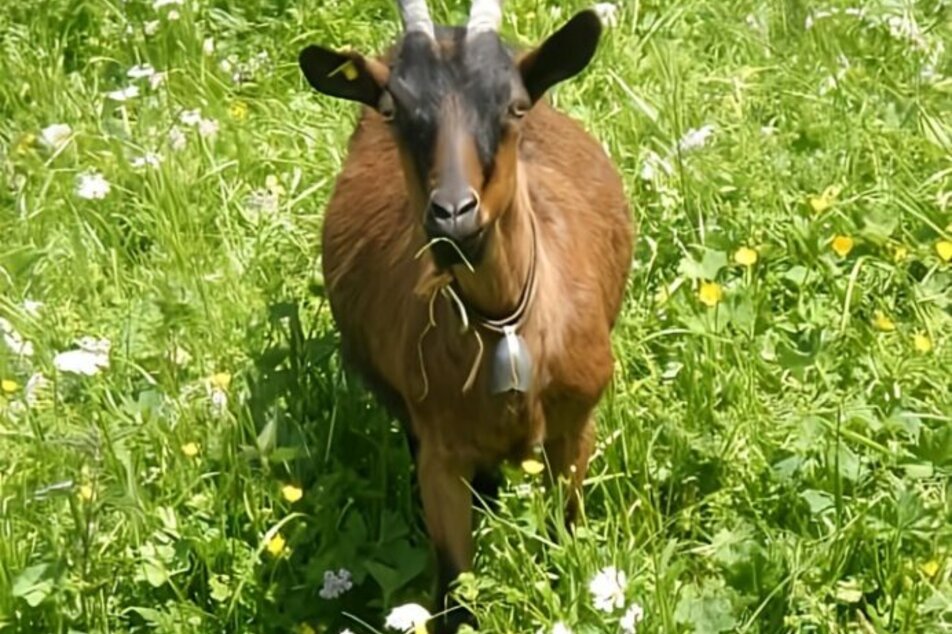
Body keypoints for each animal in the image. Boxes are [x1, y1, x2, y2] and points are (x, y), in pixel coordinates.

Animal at [302, 2, 636, 628]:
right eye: (392, 109)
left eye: (515, 105)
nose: (453, 215)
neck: (504, 324)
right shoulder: (440, 454)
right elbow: (456, 591)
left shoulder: (576, 425)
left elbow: (566, 536)